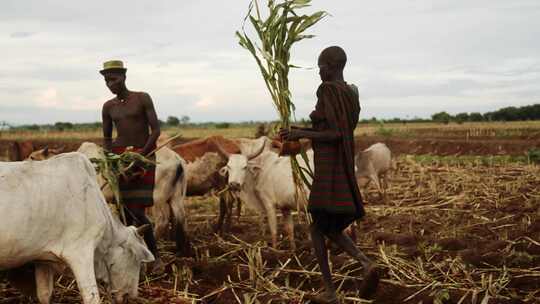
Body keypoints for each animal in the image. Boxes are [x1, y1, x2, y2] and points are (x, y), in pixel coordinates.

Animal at [0, 153, 154, 302]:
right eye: (136, 260)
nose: (132, 295)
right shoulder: (80, 252)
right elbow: (91, 296)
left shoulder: (42, 260)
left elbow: (44, 294)